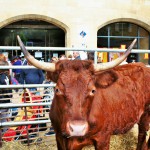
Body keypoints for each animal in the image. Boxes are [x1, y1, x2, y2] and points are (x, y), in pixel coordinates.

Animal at [16, 35, 150, 150]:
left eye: (93, 90)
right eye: (57, 89)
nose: (77, 129)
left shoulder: (103, 138)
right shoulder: (59, 138)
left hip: (145, 116)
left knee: (142, 137)